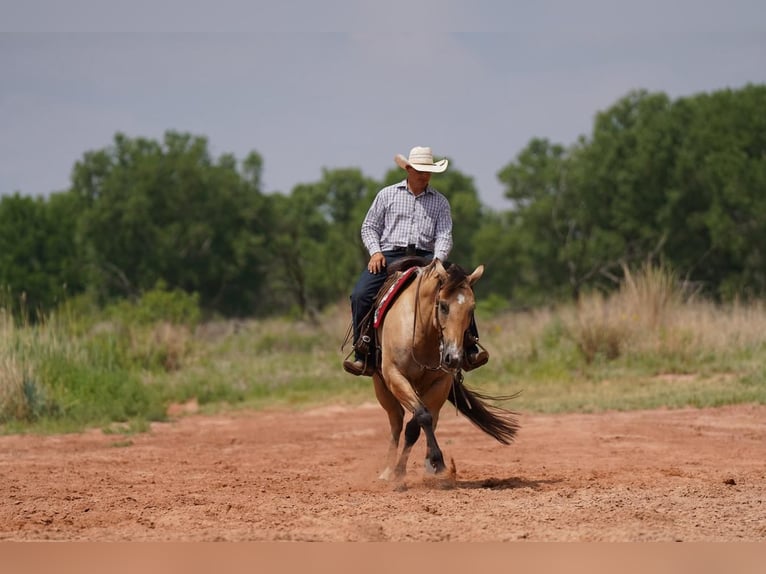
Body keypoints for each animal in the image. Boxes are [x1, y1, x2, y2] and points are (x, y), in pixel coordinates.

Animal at [368, 260, 520, 486]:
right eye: (444, 306)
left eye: (471, 309)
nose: (454, 357)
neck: (422, 335)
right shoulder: (395, 376)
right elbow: (420, 417)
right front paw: (407, 470)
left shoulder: (440, 384)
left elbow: (418, 424)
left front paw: (433, 467)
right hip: (382, 386)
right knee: (396, 421)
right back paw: (387, 472)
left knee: (427, 420)